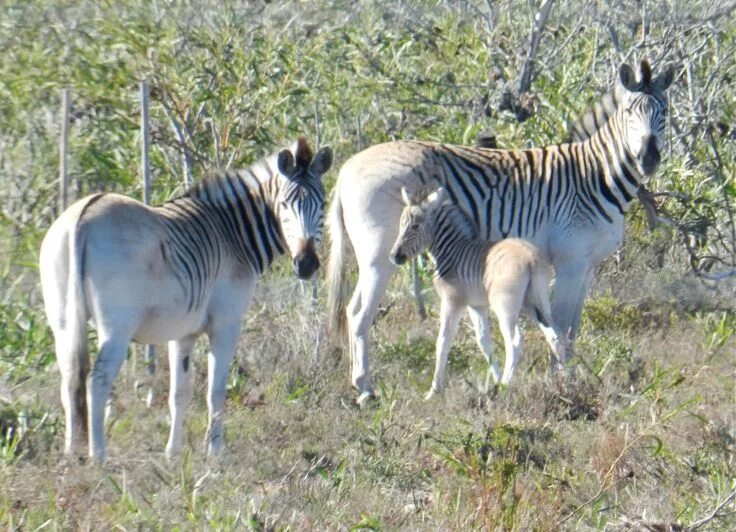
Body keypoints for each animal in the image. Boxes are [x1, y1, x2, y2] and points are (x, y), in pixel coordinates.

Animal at [40, 137, 334, 462]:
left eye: (322, 204)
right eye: (284, 205)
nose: (306, 264)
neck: (233, 235)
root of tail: (83, 215)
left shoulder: (183, 332)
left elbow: (179, 393)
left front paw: (173, 454)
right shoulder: (226, 323)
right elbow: (215, 391)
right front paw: (216, 453)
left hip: (62, 322)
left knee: (70, 381)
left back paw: (72, 454)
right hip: (116, 327)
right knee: (97, 380)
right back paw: (99, 458)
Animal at [388, 185, 568, 396]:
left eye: (415, 226)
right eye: (401, 225)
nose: (395, 256)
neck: (452, 251)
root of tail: (530, 257)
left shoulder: (452, 301)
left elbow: (442, 342)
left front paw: (433, 392)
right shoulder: (476, 306)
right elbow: (484, 343)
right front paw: (495, 380)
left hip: (505, 305)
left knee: (515, 342)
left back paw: (506, 386)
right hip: (536, 302)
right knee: (555, 335)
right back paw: (567, 380)